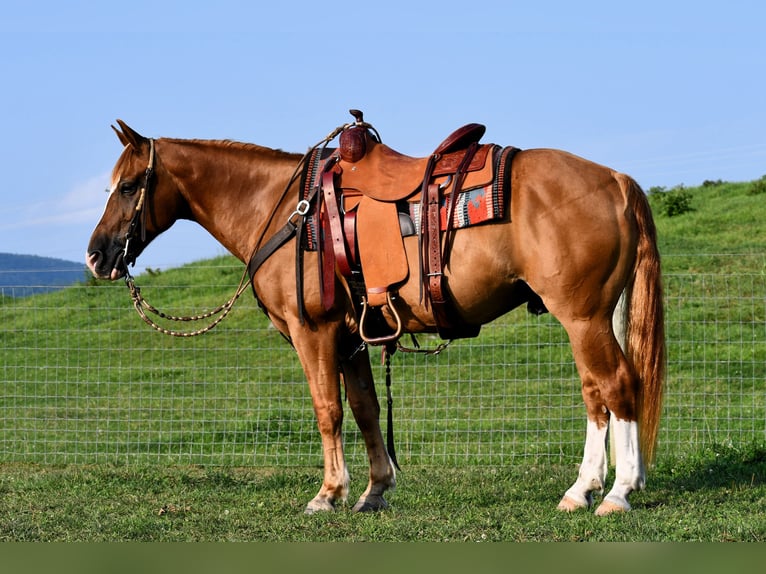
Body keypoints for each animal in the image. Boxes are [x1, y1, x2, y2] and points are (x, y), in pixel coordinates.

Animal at [87, 113, 664, 516]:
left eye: (130, 185)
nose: (96, 256)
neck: (286, 211)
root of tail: (615, 179)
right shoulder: (351, 339)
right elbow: (365, 410)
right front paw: (374, 491)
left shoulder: (314, 333)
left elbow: (328, 410)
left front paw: (328, 493)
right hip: (594, 318)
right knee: (598, 393)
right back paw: (590, 488)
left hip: (582, 318)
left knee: (616, 386)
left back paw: (615, 492)